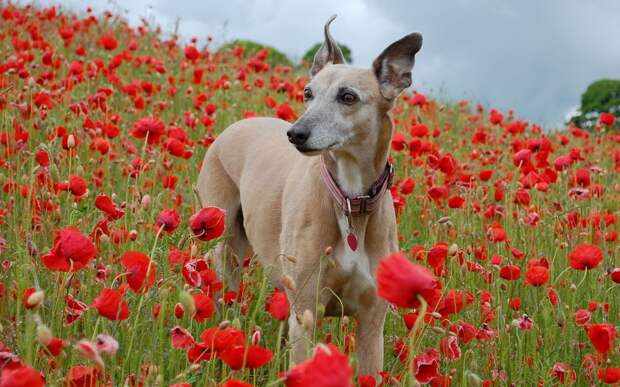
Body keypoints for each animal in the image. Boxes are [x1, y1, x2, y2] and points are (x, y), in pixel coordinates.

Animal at [196, 15, 424, 378]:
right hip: (226, 245)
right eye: (308, 92)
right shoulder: (306, 313)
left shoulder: (371, 325)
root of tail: (236, 126)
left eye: (348, 96)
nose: (295, 133)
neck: (350, 202)